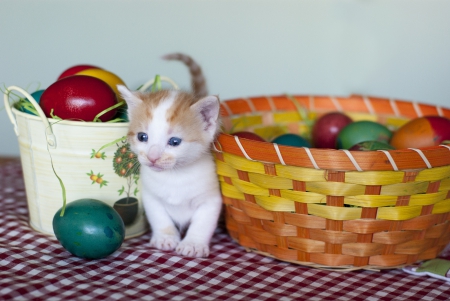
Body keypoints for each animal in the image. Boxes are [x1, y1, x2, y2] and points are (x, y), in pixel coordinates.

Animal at [116, 53, 221, 255]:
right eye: (142, 137)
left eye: (174, 142)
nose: (153, 157)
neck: (175, 176)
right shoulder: (150, 196)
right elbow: (159, 217)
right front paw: (165, 238)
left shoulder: (211, 199)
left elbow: (202, 223)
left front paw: (193, 244)